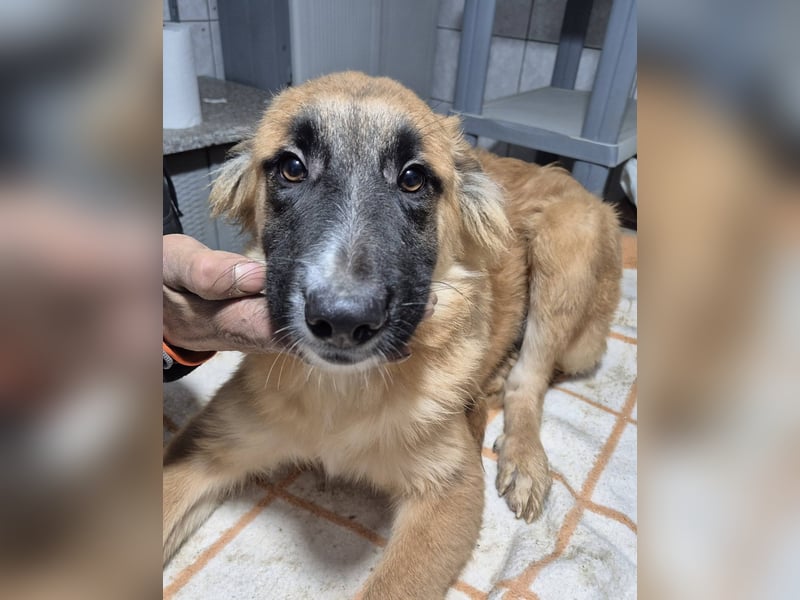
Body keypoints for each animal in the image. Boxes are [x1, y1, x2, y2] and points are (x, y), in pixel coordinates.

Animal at [163, 72, 622, 599]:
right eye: (292, 168)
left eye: (412, 177)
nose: (344, 322)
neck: (342, 394)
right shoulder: (206, 445)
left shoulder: (452, 491)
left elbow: (393, 586)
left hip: (567, 249)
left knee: (530, 379)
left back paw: (524, 459)